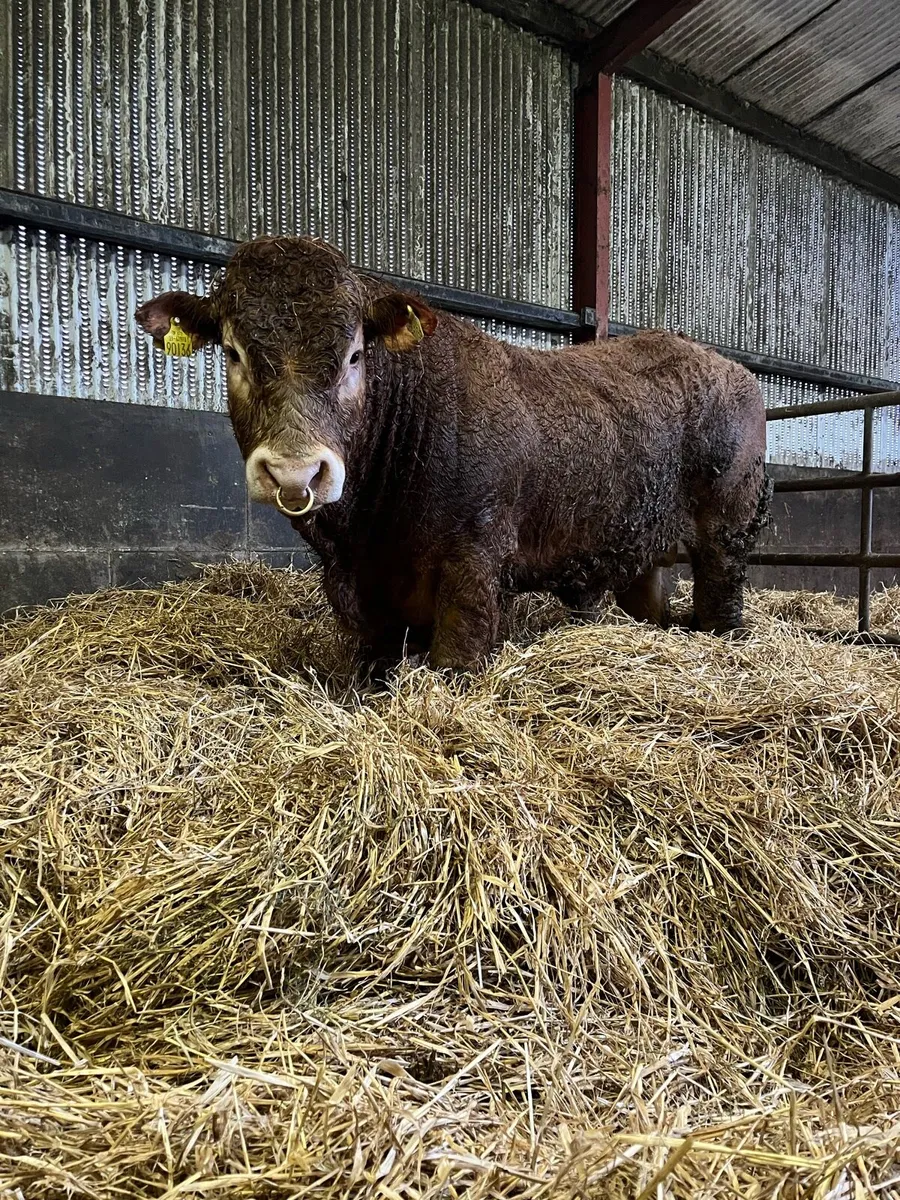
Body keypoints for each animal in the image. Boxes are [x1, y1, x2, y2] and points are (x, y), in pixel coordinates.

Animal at [136, 236, 770, 673]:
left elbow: (455, 660)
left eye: (355, 355)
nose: (296, 471)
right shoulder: (351, 587)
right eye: (234, 353)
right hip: (641, 550)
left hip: (726, 534)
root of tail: (730, 368)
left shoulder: (473, 568)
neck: (371, 530)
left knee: (721, 603)